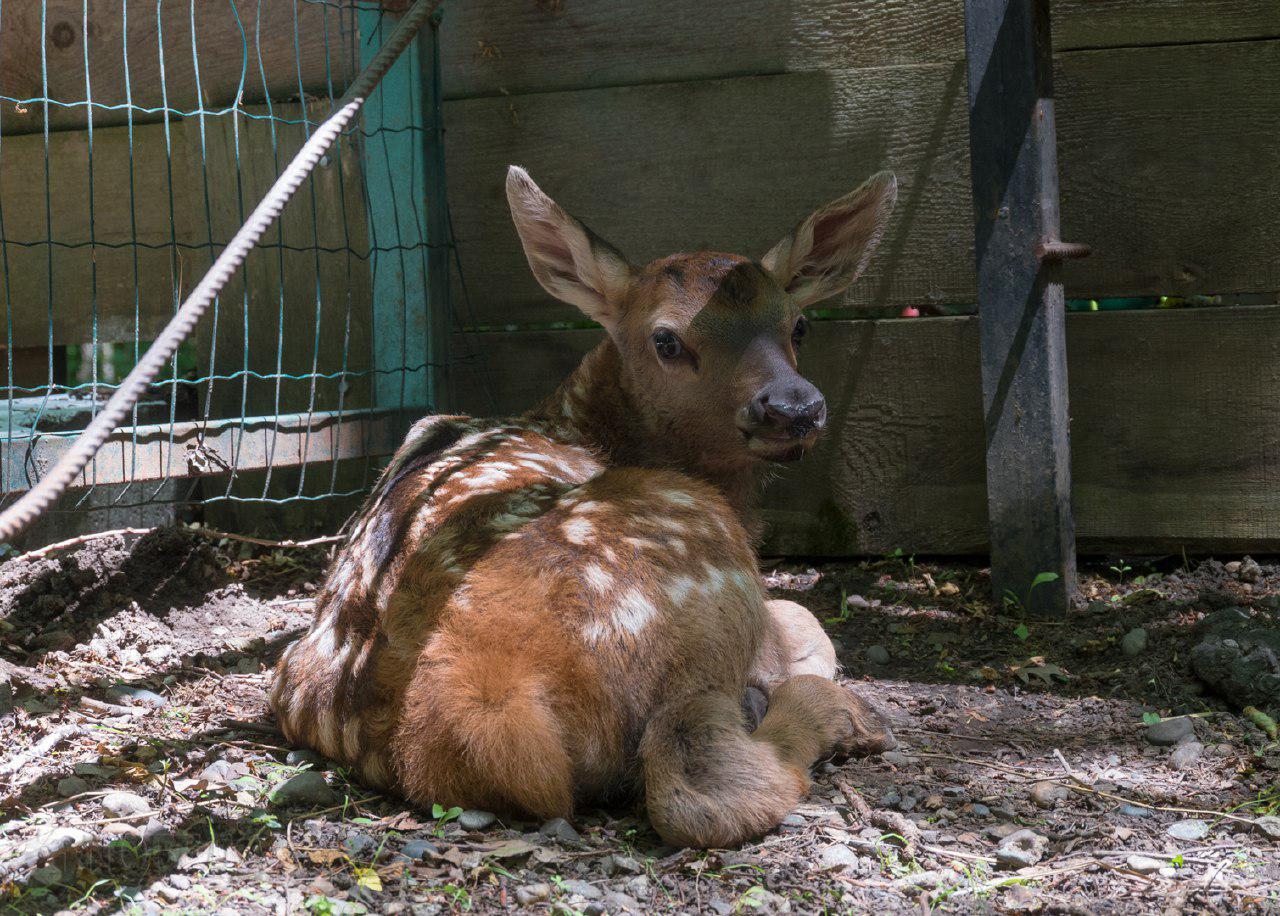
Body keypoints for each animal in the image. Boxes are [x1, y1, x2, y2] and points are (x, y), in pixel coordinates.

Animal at [268, 167, 896, 849]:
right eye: (666, 340)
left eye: (799, 325)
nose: (794, 406)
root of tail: (491, 710)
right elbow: (804, 620)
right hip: (696, 556)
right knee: (699, 783)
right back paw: (839, 714)